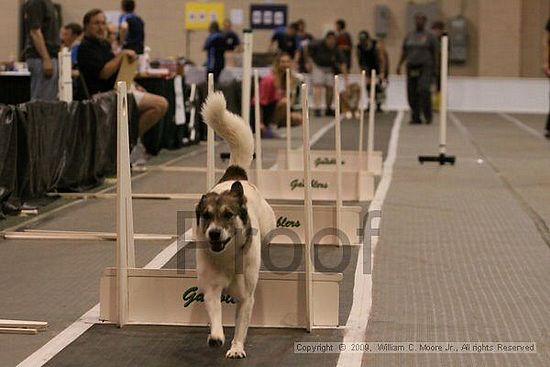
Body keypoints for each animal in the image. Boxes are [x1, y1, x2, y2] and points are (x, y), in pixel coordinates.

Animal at [197, 91, 278, 360]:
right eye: (207, 215)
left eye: (228, 215)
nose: (214, 233)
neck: (228, 255)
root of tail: (235, 176)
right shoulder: (211, 287)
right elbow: (214, 312)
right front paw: (216, 337)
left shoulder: (245, 297)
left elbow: (241, 324)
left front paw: (236, 348)